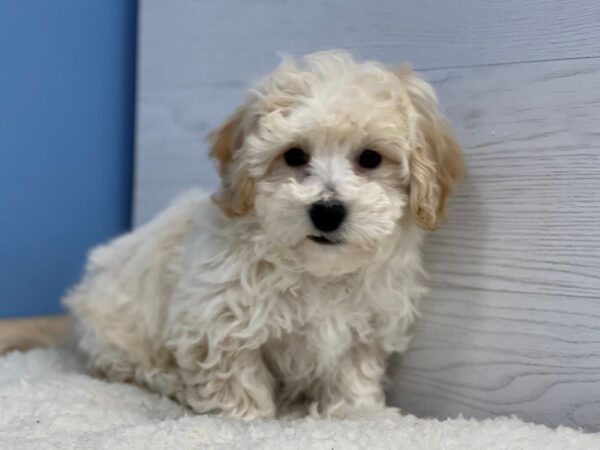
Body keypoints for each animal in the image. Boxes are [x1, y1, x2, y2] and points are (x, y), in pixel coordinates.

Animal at [67, 51, 468, 420]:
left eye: (370, 158)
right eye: (294, 155)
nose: (327, 211)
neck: (317, 272)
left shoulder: (365, 326)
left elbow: (353, 373)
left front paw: (357, 413)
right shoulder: (217, 319)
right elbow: (235, 376)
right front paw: (248, 418)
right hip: (113, 329)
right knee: (122, 365)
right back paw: (167, 380)